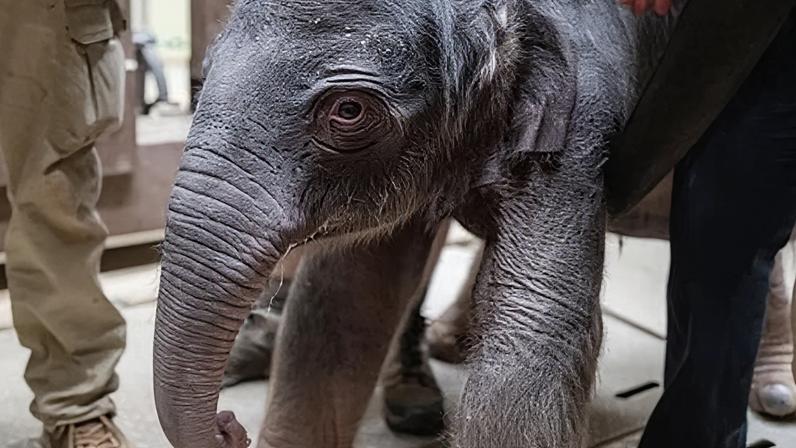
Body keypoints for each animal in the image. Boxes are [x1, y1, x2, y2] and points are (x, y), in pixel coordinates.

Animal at [151, 0, 688, 447]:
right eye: (202, 74)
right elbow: (345, 297)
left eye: (349, 110)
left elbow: (531, 330)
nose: (228, 425)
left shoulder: (577, 127)